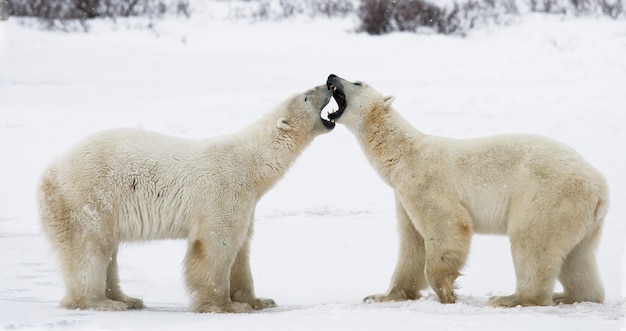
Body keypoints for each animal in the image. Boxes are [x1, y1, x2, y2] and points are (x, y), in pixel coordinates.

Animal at [39, 83, 336, 314]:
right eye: (306, 96)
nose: (328, 84)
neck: (249, 163)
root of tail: (50, 172)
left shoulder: (247, 204)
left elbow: (242, 249)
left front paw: (259, 300)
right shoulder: (223, 191)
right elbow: (216, 245)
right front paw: (224, 305)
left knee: (108, 250)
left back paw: (127, 298)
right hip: (87, 198)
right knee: (90, 249)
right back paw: (102, 302)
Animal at [324, 74, 608, 308]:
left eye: (357, 82)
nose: (331, 76)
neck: (403, 154)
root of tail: (601, 189)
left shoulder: (425, 182)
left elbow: (447, 223)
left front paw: (446, 292)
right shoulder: (403, 197)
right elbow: (411, 245)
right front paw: (381, 295)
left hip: (548, 195)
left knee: (532, 240)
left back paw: (511, 298)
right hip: (580, 217)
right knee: (578, 259)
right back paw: (570, 296)